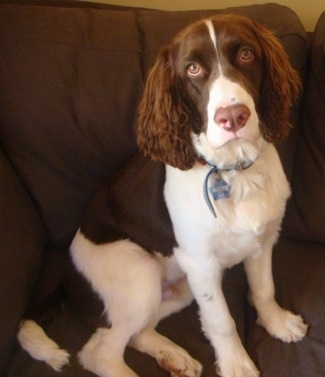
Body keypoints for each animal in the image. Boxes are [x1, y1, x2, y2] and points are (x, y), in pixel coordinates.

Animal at [19, 13, 308, 376]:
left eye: (246, 54)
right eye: (193, 69)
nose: (233, 118)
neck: (234, 171)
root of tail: (66, 283)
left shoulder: (262, 241)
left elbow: (264, 289)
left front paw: (277, 323)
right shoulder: (201, 265)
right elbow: (221, 321)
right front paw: (237, 365)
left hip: (179, 287)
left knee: (136, 332)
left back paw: (173, 356)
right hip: (140, 273)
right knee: (99, 351)